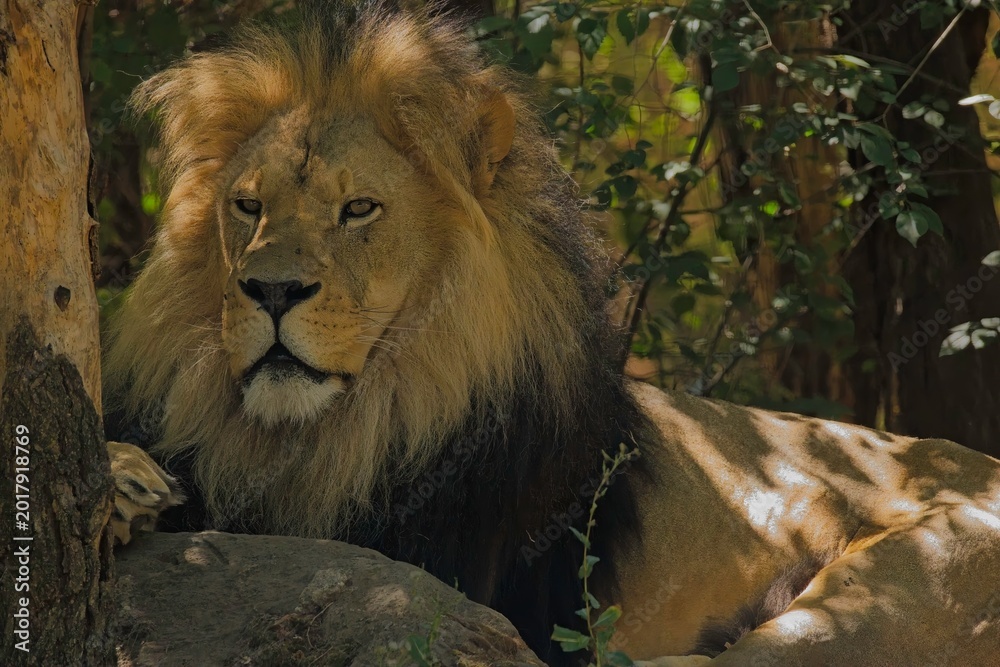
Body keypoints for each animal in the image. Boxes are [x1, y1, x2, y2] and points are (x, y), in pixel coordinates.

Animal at [103, 2, 1000, 665]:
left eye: (359, 209)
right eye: (247, 206)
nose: (271, 289)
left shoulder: (435, 563)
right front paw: (124, 480)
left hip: (895, 583)